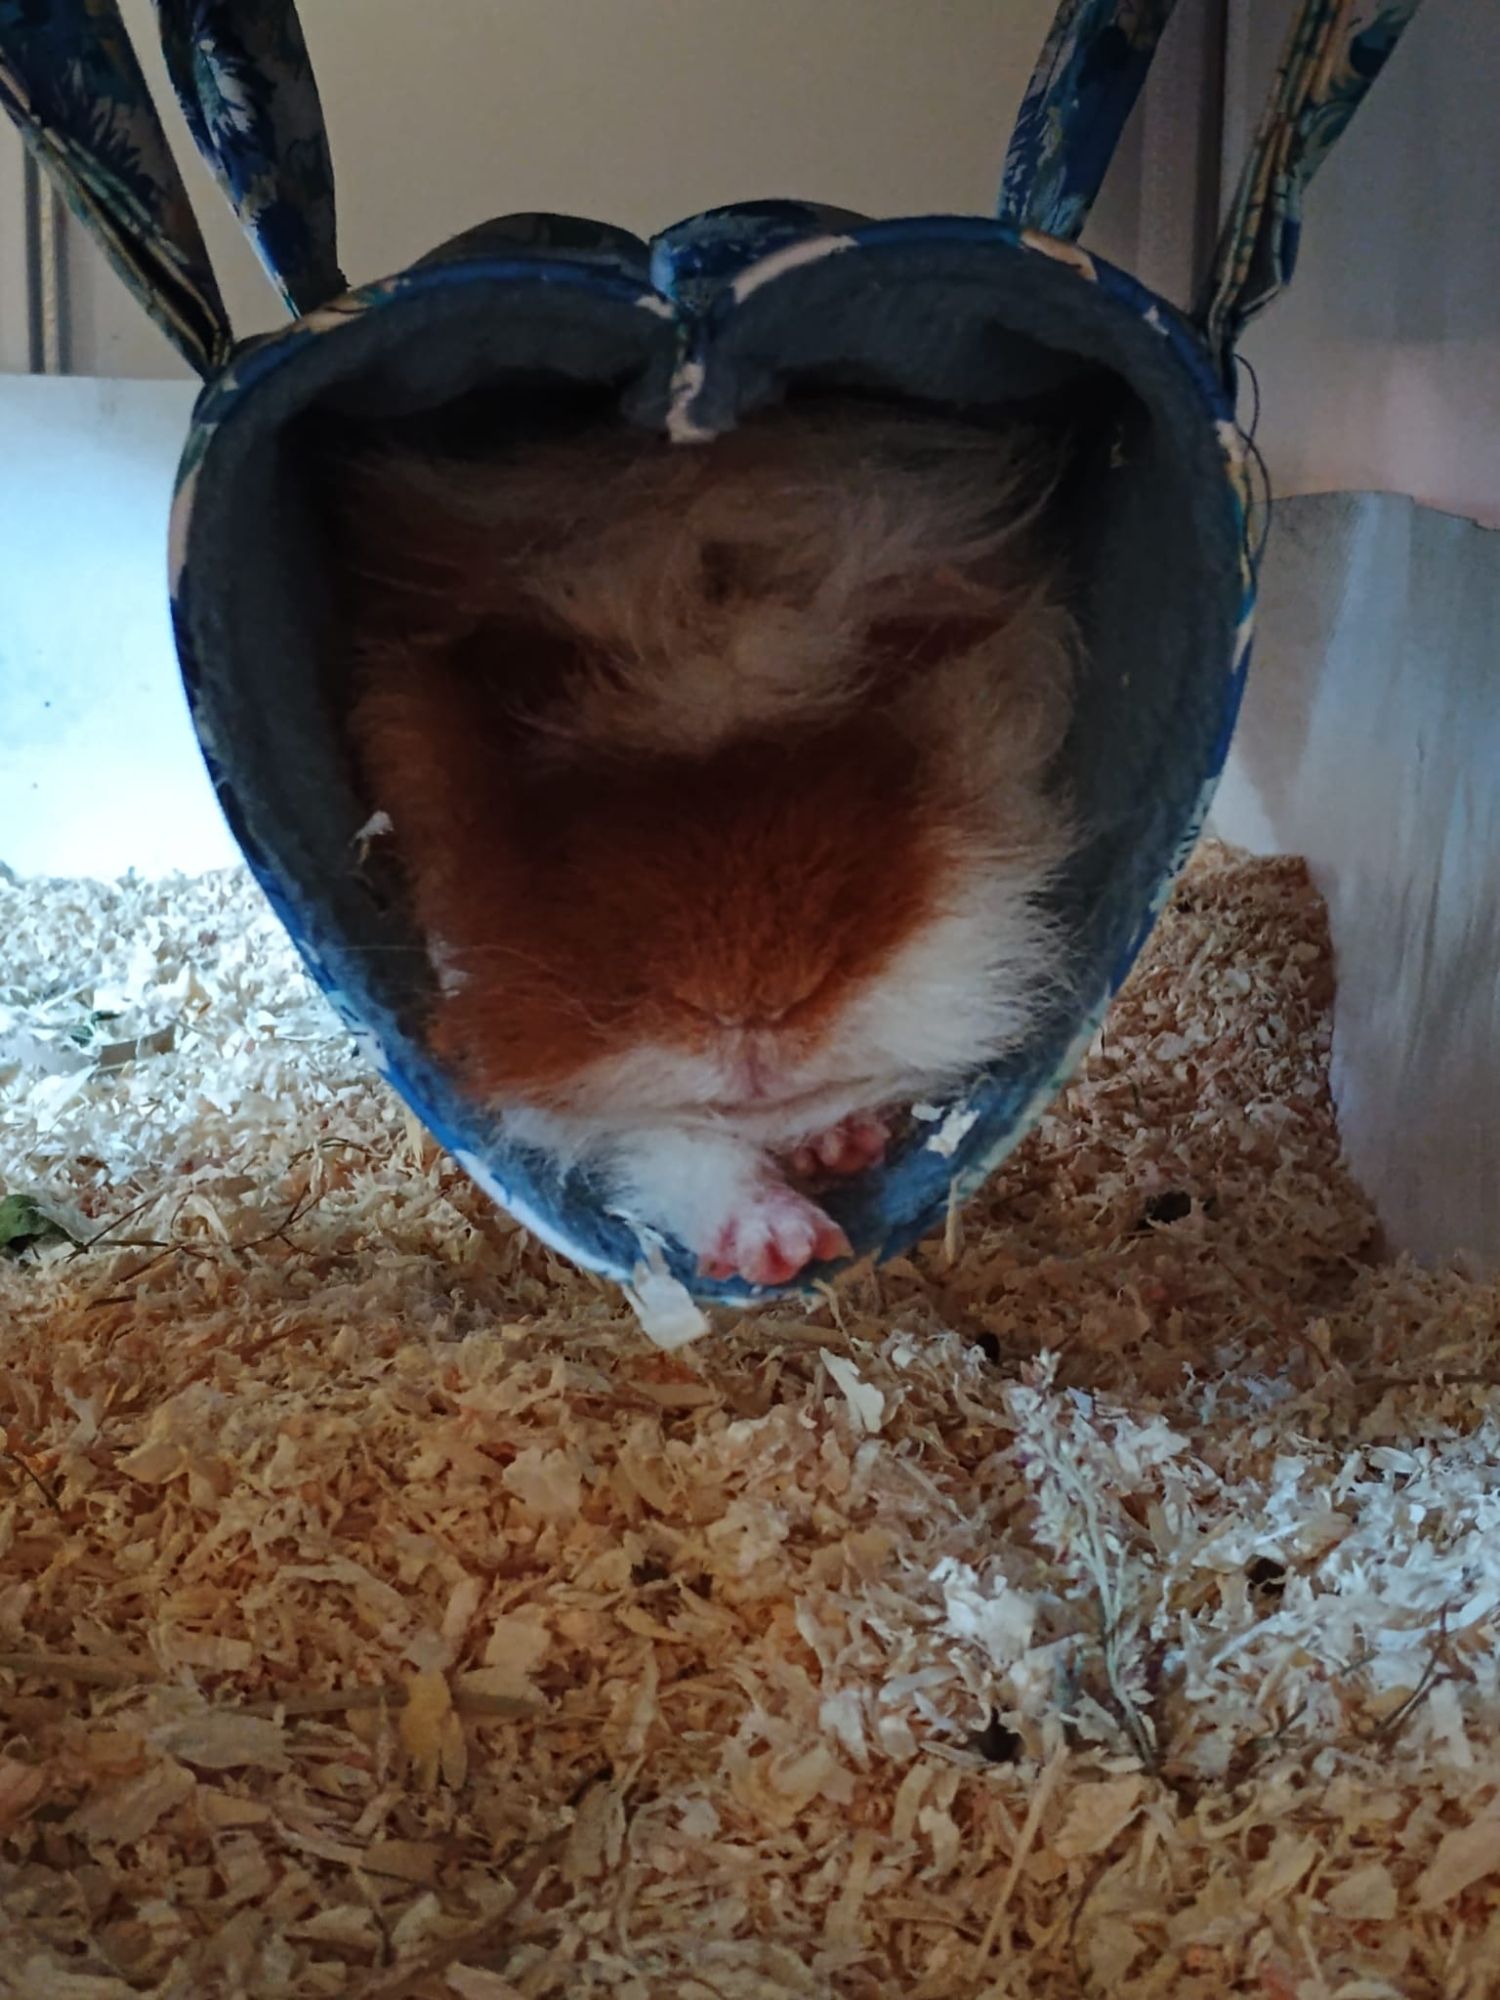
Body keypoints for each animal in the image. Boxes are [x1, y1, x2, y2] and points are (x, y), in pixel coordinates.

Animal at [321, 398, 1078, 1286]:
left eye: (883, 754)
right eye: (519, 714)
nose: (752, 1015)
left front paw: (833, 1155)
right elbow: (668, 1139)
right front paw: (784, 1248)